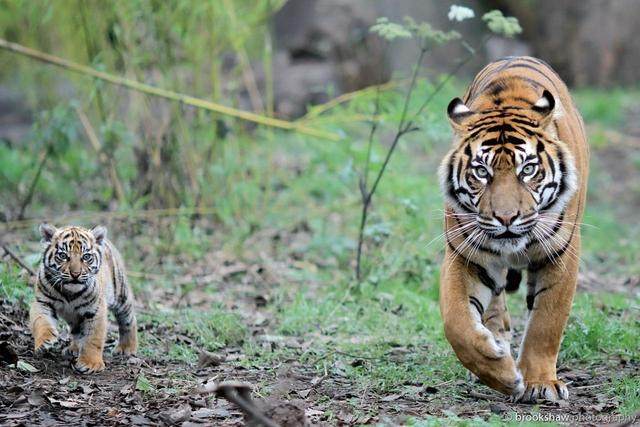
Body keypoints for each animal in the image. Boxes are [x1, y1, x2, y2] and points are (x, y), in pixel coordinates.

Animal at [438, 57, 588, 404]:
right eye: (482, 172)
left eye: (528, 169)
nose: (506, 218)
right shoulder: (465, 255)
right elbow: (456, 322)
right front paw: (502, 373)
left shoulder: (561, 254)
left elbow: (546, 323)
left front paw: (540, 383)